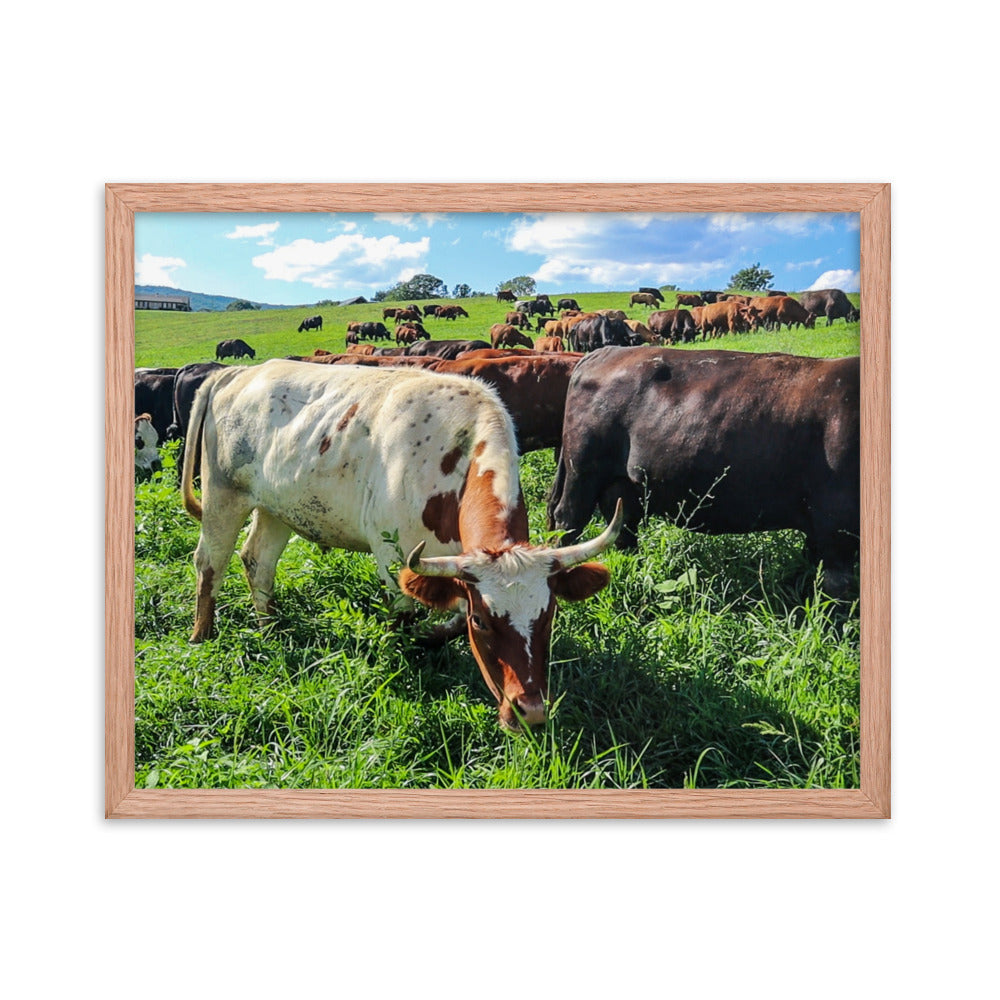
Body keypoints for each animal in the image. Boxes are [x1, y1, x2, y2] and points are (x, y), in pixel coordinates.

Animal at [181, 360, 621, 730]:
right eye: (484, 622)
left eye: (549, 615)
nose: (529, 712)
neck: (455, 456)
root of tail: (237, 372)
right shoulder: (394, 558)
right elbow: (406, 619)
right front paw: (406, 657)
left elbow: (450, 619)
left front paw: (432, 637)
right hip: (223, 496)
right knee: (209, 564)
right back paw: (202, 636)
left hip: (276, 508)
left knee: (258, 561)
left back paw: (270, 627)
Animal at [547, 346, 860, 595]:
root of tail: (602, 352)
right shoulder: (837, 525)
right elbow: (836, 591)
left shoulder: (821, 529)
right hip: (582, 473)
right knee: (568, 521)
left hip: (622, 486)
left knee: (624, 528)